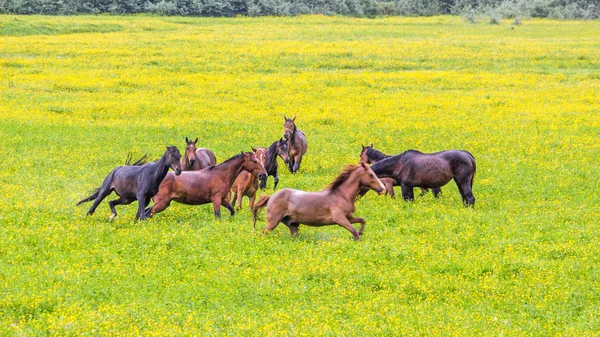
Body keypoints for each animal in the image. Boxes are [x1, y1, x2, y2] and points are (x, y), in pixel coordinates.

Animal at [252, 161, 384, 240]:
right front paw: (357, 239)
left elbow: (362, 220)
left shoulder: (349, 217)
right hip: (273, 222)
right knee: (263, 233)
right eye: (371, 175)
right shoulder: (340, 219)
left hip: (293, 224)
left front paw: (361, 234)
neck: (342, 195)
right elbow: (354, 231)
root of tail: (271, 197)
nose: (382, 188)